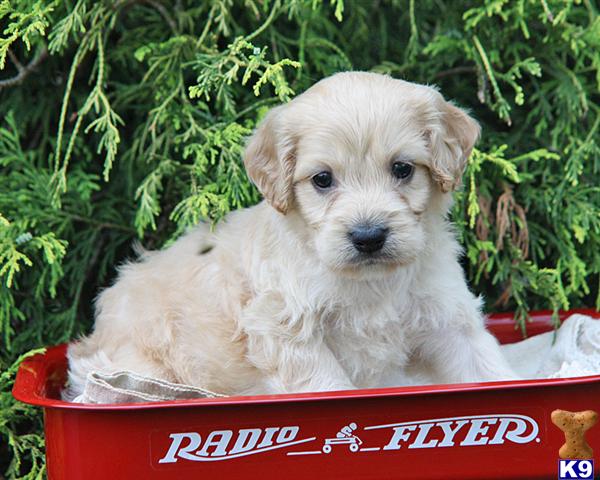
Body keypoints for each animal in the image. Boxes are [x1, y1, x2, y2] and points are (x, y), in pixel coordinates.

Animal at [64, 71, 516, 400]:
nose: (368, 236)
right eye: (322, 179)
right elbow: (328, 385)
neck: (371, 285)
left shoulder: (447, 317)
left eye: (403, 169)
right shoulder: (284, 328)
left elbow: (486, 367)